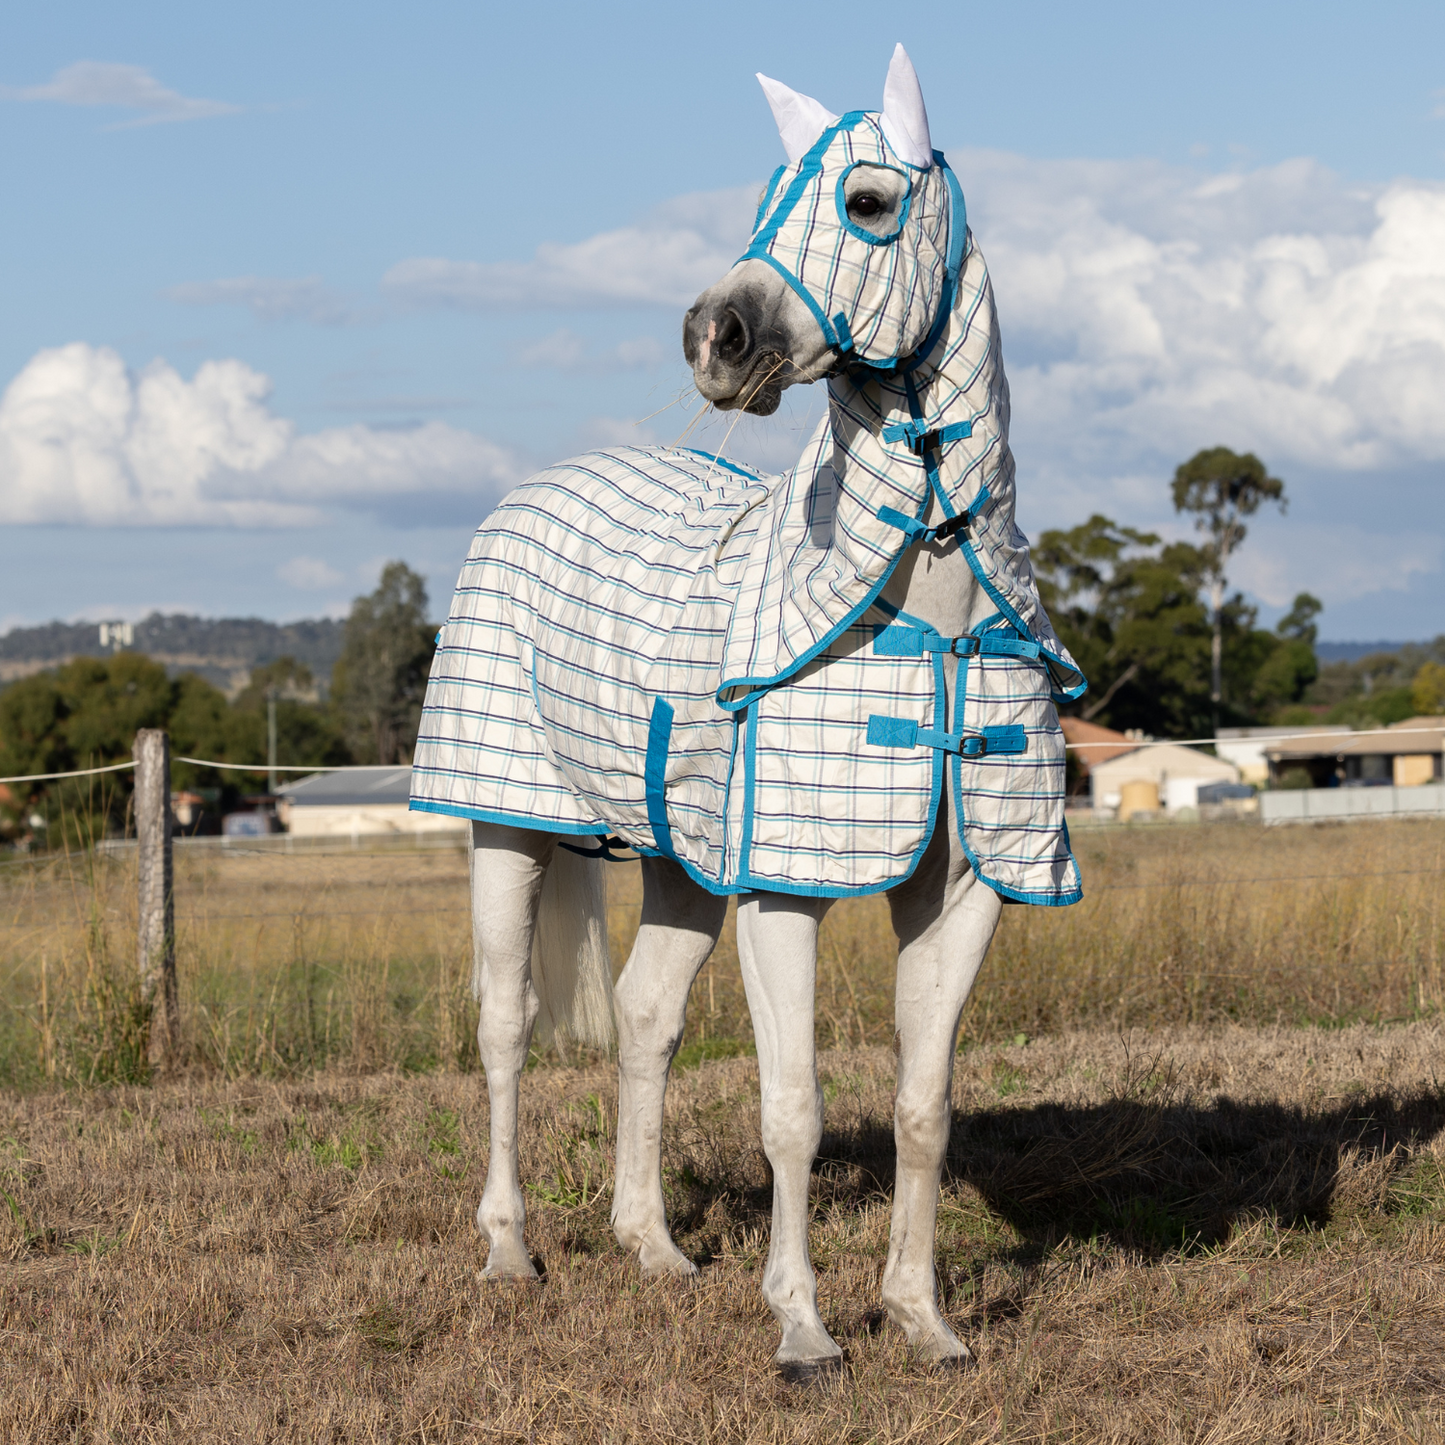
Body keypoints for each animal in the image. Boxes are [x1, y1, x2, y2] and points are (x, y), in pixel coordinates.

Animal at [419, 42, 1086, 1375]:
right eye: (771, 193)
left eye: (867, 202)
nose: (710, 337)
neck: (927, 611)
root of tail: (528, 488)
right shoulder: (784, 890)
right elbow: (793, 1111)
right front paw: (804, 1329)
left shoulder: (963, 889)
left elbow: (922, 1108)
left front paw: (923, 1319)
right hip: (504, 826)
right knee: (505, 1028)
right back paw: (509, 1250)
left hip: (677, 860)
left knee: (643, 1017)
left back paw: (652, 1246)